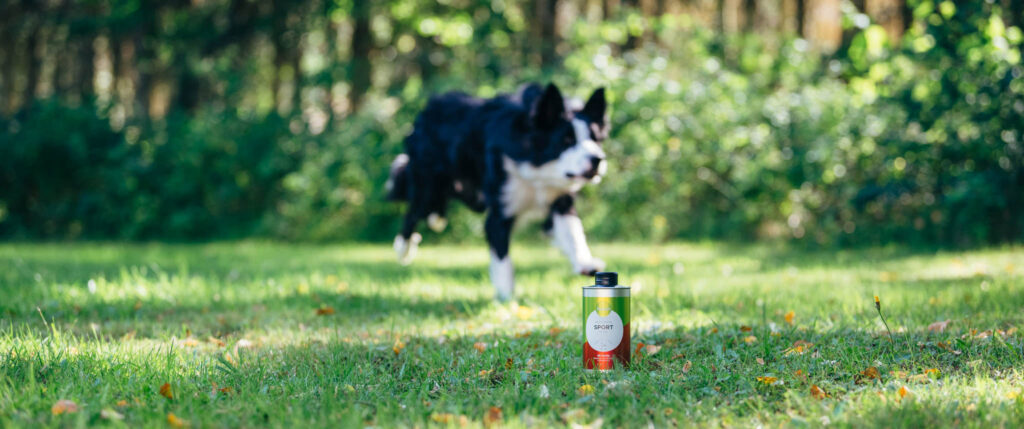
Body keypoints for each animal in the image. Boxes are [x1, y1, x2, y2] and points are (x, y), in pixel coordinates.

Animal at [385, 82, 606, 301]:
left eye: (595, 139)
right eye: (567, 140)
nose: (597, 159)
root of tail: (427, 109)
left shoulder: (559, 199)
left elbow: (573, 230)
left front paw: (585, 262)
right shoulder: (500, 211)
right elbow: (502, 259)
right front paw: (507, 298)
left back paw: (435, 220)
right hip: (428, 185)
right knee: (413, 213)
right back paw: (403, 250)